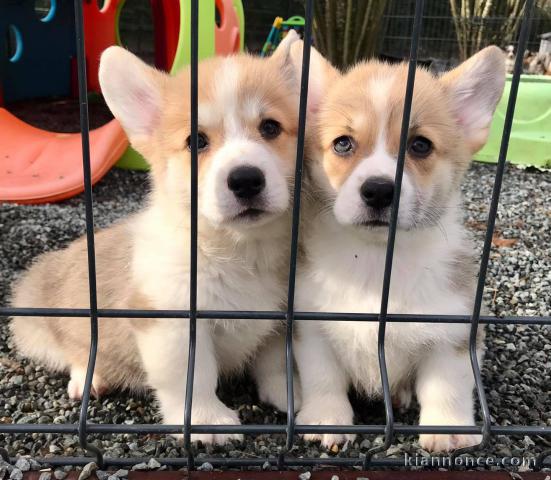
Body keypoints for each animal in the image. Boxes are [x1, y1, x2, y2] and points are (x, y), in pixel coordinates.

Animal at [11, 30, 314, 444]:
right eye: (196, 141)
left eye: (270, 127)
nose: (246, 180)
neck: (238, 250)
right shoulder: (171, 322)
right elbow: (192, 378)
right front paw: (207, 422)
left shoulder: (277, 319)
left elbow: (274, 364)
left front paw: (291, 396)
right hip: (54, 329)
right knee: (77, 352)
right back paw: (92, 379)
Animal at [296, 47, 506, 452]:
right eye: (343, 143)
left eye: (420, 145)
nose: (378, 190)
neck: (376, 260)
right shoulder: (312, 329)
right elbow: (323, 379)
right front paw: (327, 419)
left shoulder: (451, 334)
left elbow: (447, 387)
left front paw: (448, 431)